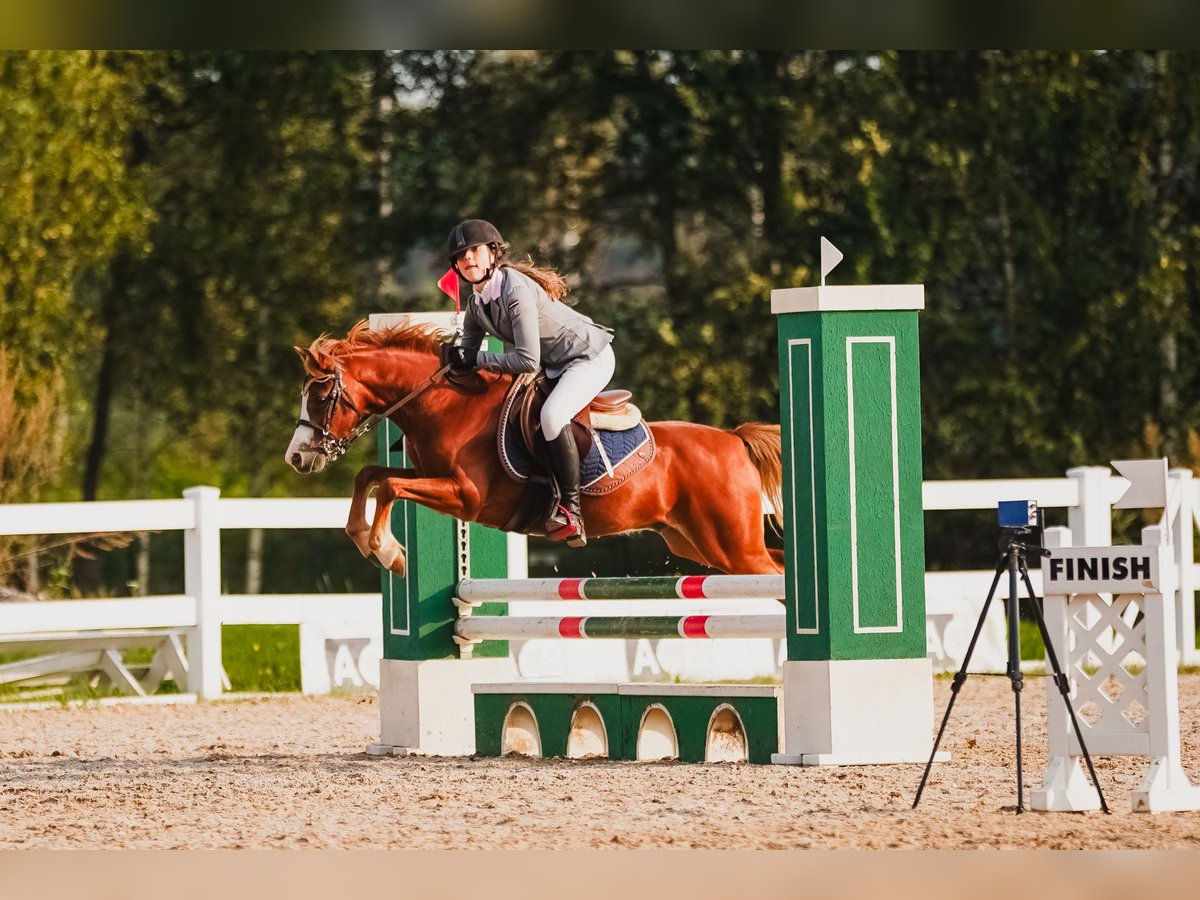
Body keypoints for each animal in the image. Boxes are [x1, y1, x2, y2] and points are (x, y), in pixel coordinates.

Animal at [283, 321, 787, 578]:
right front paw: (368, 540)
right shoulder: (435, 479)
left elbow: (386, 486)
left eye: (320, 397)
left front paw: (390, 553)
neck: (446, 404)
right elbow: (370, 476)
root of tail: (733, 439)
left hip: (731, 548)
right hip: (696, 544)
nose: (297, 458)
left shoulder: (466, 497)